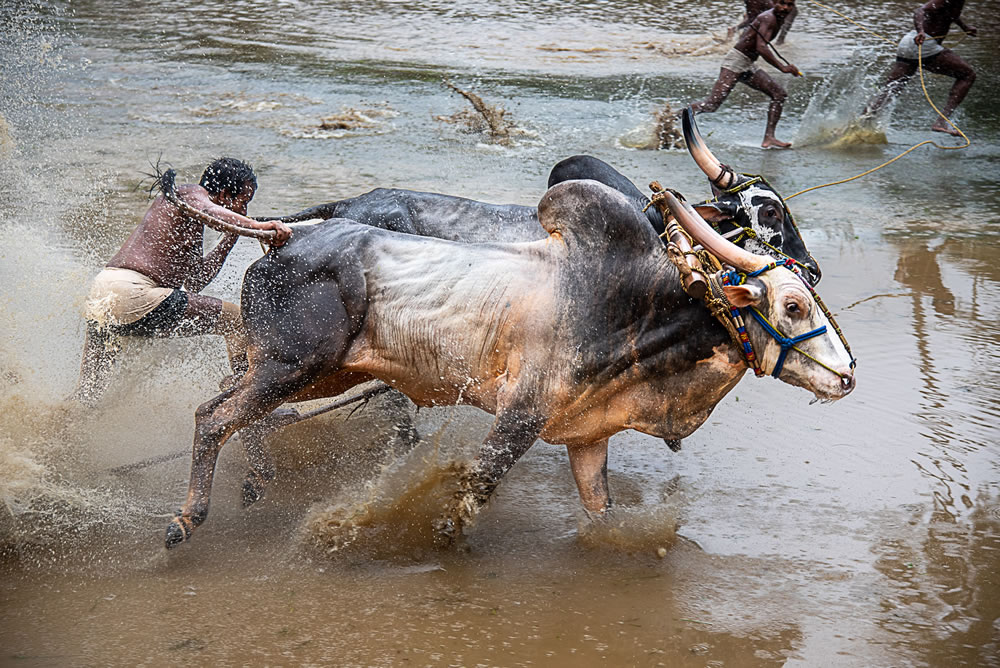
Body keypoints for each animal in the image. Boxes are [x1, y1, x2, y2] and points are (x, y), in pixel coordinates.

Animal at [162, 177, 852, 548]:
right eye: (792, 305)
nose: (847, 375)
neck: (638, 306)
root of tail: (287, 235)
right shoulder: (522, 415)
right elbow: (478, 484)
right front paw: (442, 540)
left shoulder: (587, 435)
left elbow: (600, 508)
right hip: (292, 366)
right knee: (212, 415)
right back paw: (186, 520)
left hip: (317, 369)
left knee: (235, 405)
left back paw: (250, 484)